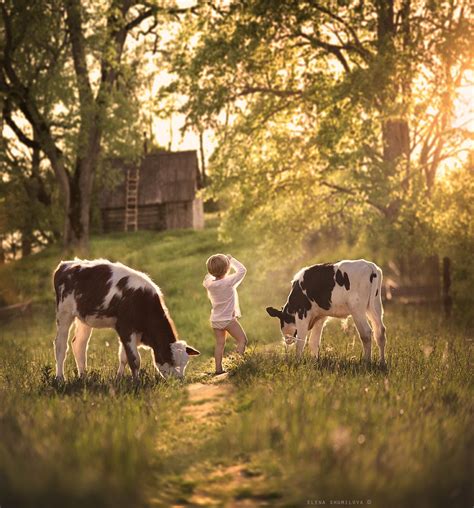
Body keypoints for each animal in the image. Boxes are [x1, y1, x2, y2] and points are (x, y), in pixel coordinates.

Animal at [52, 260, 200, 380]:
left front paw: (119, 378)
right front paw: (136, 382)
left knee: (79, 345)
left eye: (185, 363)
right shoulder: (125, 328)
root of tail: (66, 264)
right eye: (170, 360)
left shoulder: (130, 333)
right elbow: (134, 359)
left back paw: (83, 376)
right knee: (60, 346)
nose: (180, 380)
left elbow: (123, 357)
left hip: (84, 319)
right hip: (64, 313)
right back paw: (60, 378)